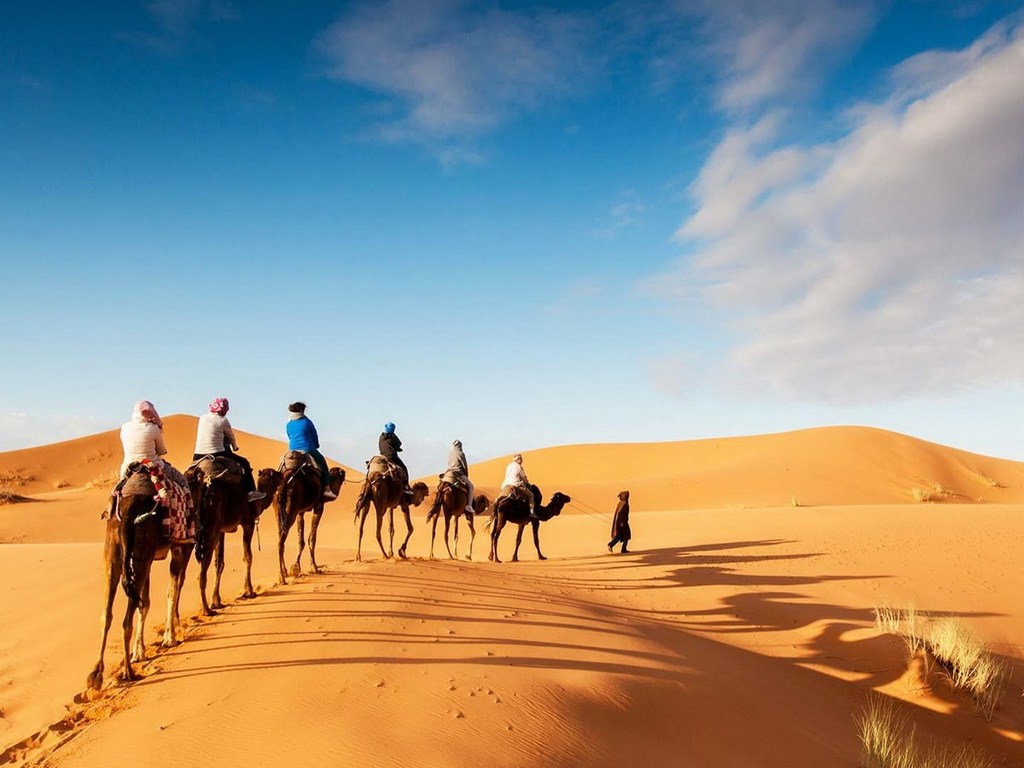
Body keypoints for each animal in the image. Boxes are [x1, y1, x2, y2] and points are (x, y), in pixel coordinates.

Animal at [86, 475, 193, 692]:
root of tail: (128, 511)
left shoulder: (149, 559)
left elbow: (146, 603)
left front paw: (139, 651)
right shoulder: (179, 548)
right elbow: (171, 592)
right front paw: (170, 638)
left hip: (114, 554)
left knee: (107, 614)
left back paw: (96, 674)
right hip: (141, 552)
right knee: (126, 618)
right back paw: (128, 672)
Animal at [185, 460, 268, 618]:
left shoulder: (221, 531)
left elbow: (219, 564)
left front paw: (216, 601)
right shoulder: (248, 522)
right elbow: (248, 556)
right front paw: (249, 591)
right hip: (210, 530)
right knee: (201, 573)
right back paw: (206, 610)